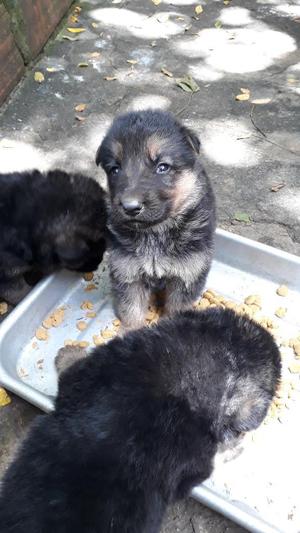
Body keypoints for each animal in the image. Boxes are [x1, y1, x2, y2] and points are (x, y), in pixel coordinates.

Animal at [96, 110, 216, 330]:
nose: (130, 207)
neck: (156, 231)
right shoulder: (128, 274)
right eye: (115, 169)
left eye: (163, 167)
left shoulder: (187, 274)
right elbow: (132, 312)